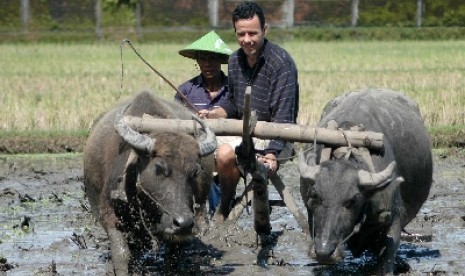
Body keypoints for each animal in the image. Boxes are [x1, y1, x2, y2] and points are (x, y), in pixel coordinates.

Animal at [82, 91, 217, 276]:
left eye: (195, 171)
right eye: (159, 168)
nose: (183, 223)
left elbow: (173, 256)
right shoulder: (110, 214)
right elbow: (121, 253)